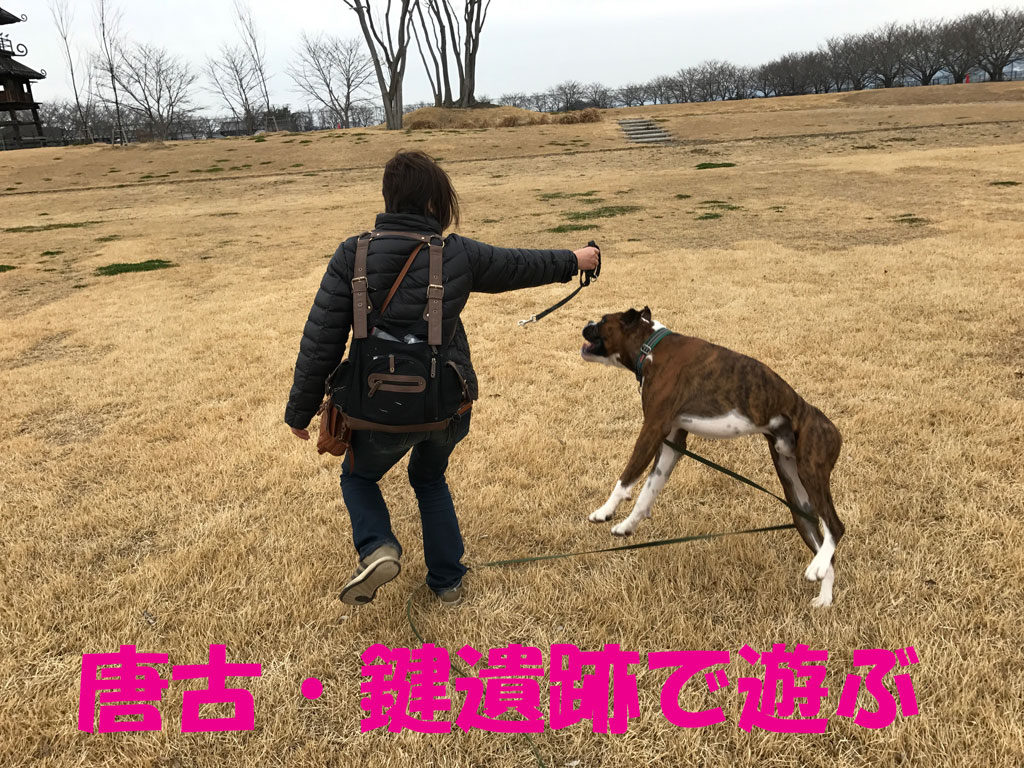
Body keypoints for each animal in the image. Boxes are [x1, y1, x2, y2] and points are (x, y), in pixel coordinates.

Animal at [581, 307, 843, 606]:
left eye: (603, 321)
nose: (586, 323)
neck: (651, 346)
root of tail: (826, 423)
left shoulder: (652, 429)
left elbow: (627, 478)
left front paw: (604, 511)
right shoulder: (671, 442)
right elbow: (648, 491)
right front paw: (627, 525)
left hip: (811, 471)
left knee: (836, 527)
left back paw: (816, 568)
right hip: (797, 497)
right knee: (825, 546)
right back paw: (824, 594)